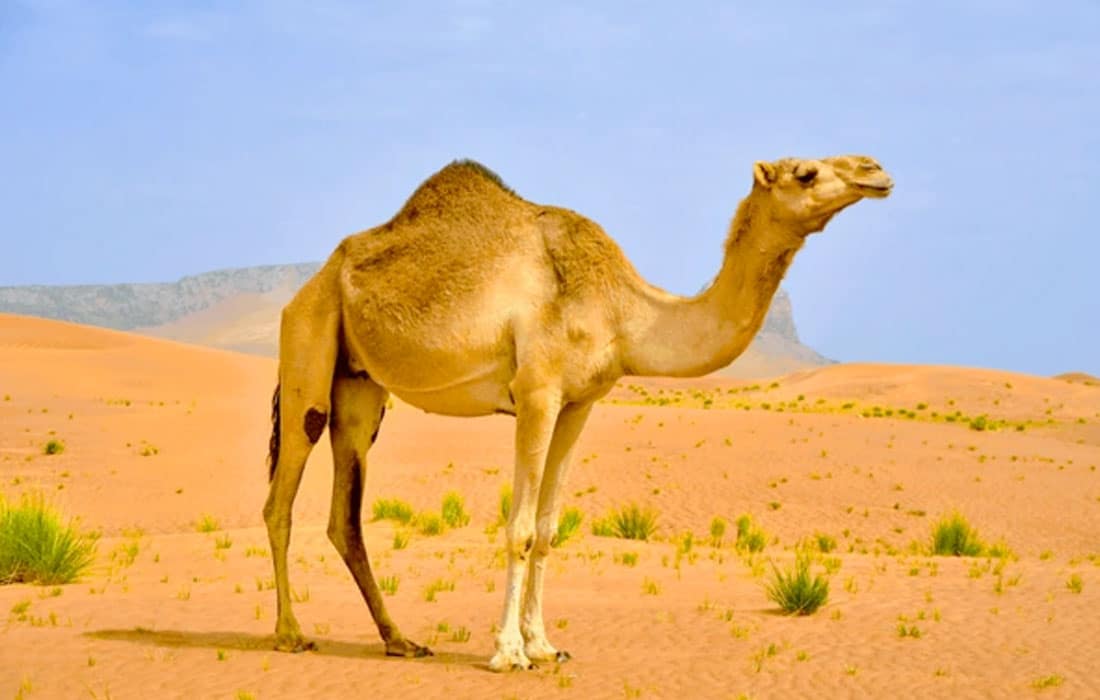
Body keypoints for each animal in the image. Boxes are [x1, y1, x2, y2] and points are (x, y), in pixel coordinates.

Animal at [262, 154, 893, 670]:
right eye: (805, 173)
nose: (875, 169)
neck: (624, 312)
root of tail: (316, 279)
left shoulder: (580, 403)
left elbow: (547, 530)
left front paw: (545, 645)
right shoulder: (537, 392)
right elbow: (519, 528)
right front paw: (508, 652)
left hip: (361, 387)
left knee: (345, 516)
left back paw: (400, 640)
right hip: (309, 341)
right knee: (281, 496)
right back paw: (291, 634)